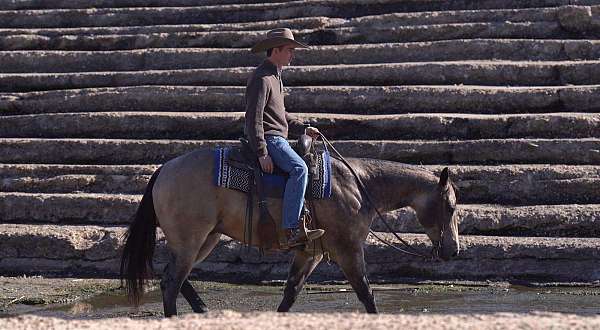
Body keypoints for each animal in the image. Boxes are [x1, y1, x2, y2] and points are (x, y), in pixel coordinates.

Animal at [120, 142, 460, 318]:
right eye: (451, 207)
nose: (453, 250)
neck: (359, 186)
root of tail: (164, 169)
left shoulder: (310, 252)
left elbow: (291, 292)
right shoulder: (348, 249)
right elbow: (366, 293)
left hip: (206, 239)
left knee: (176, 277)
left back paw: (202, 309)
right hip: (192, 239)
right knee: (171, 283)